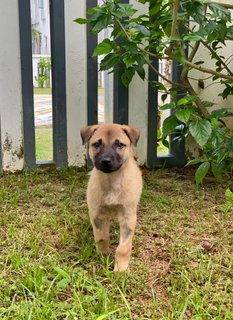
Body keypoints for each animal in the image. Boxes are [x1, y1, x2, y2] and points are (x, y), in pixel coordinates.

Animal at [80, 124, 143, 272]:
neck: (111, 182)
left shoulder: (127, 216)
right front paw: (103, 256)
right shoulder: (98, 214)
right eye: (97, 144)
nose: (106, 161)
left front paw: (120, 269)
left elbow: (123, 247)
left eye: (119, 144)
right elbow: (101, 237)